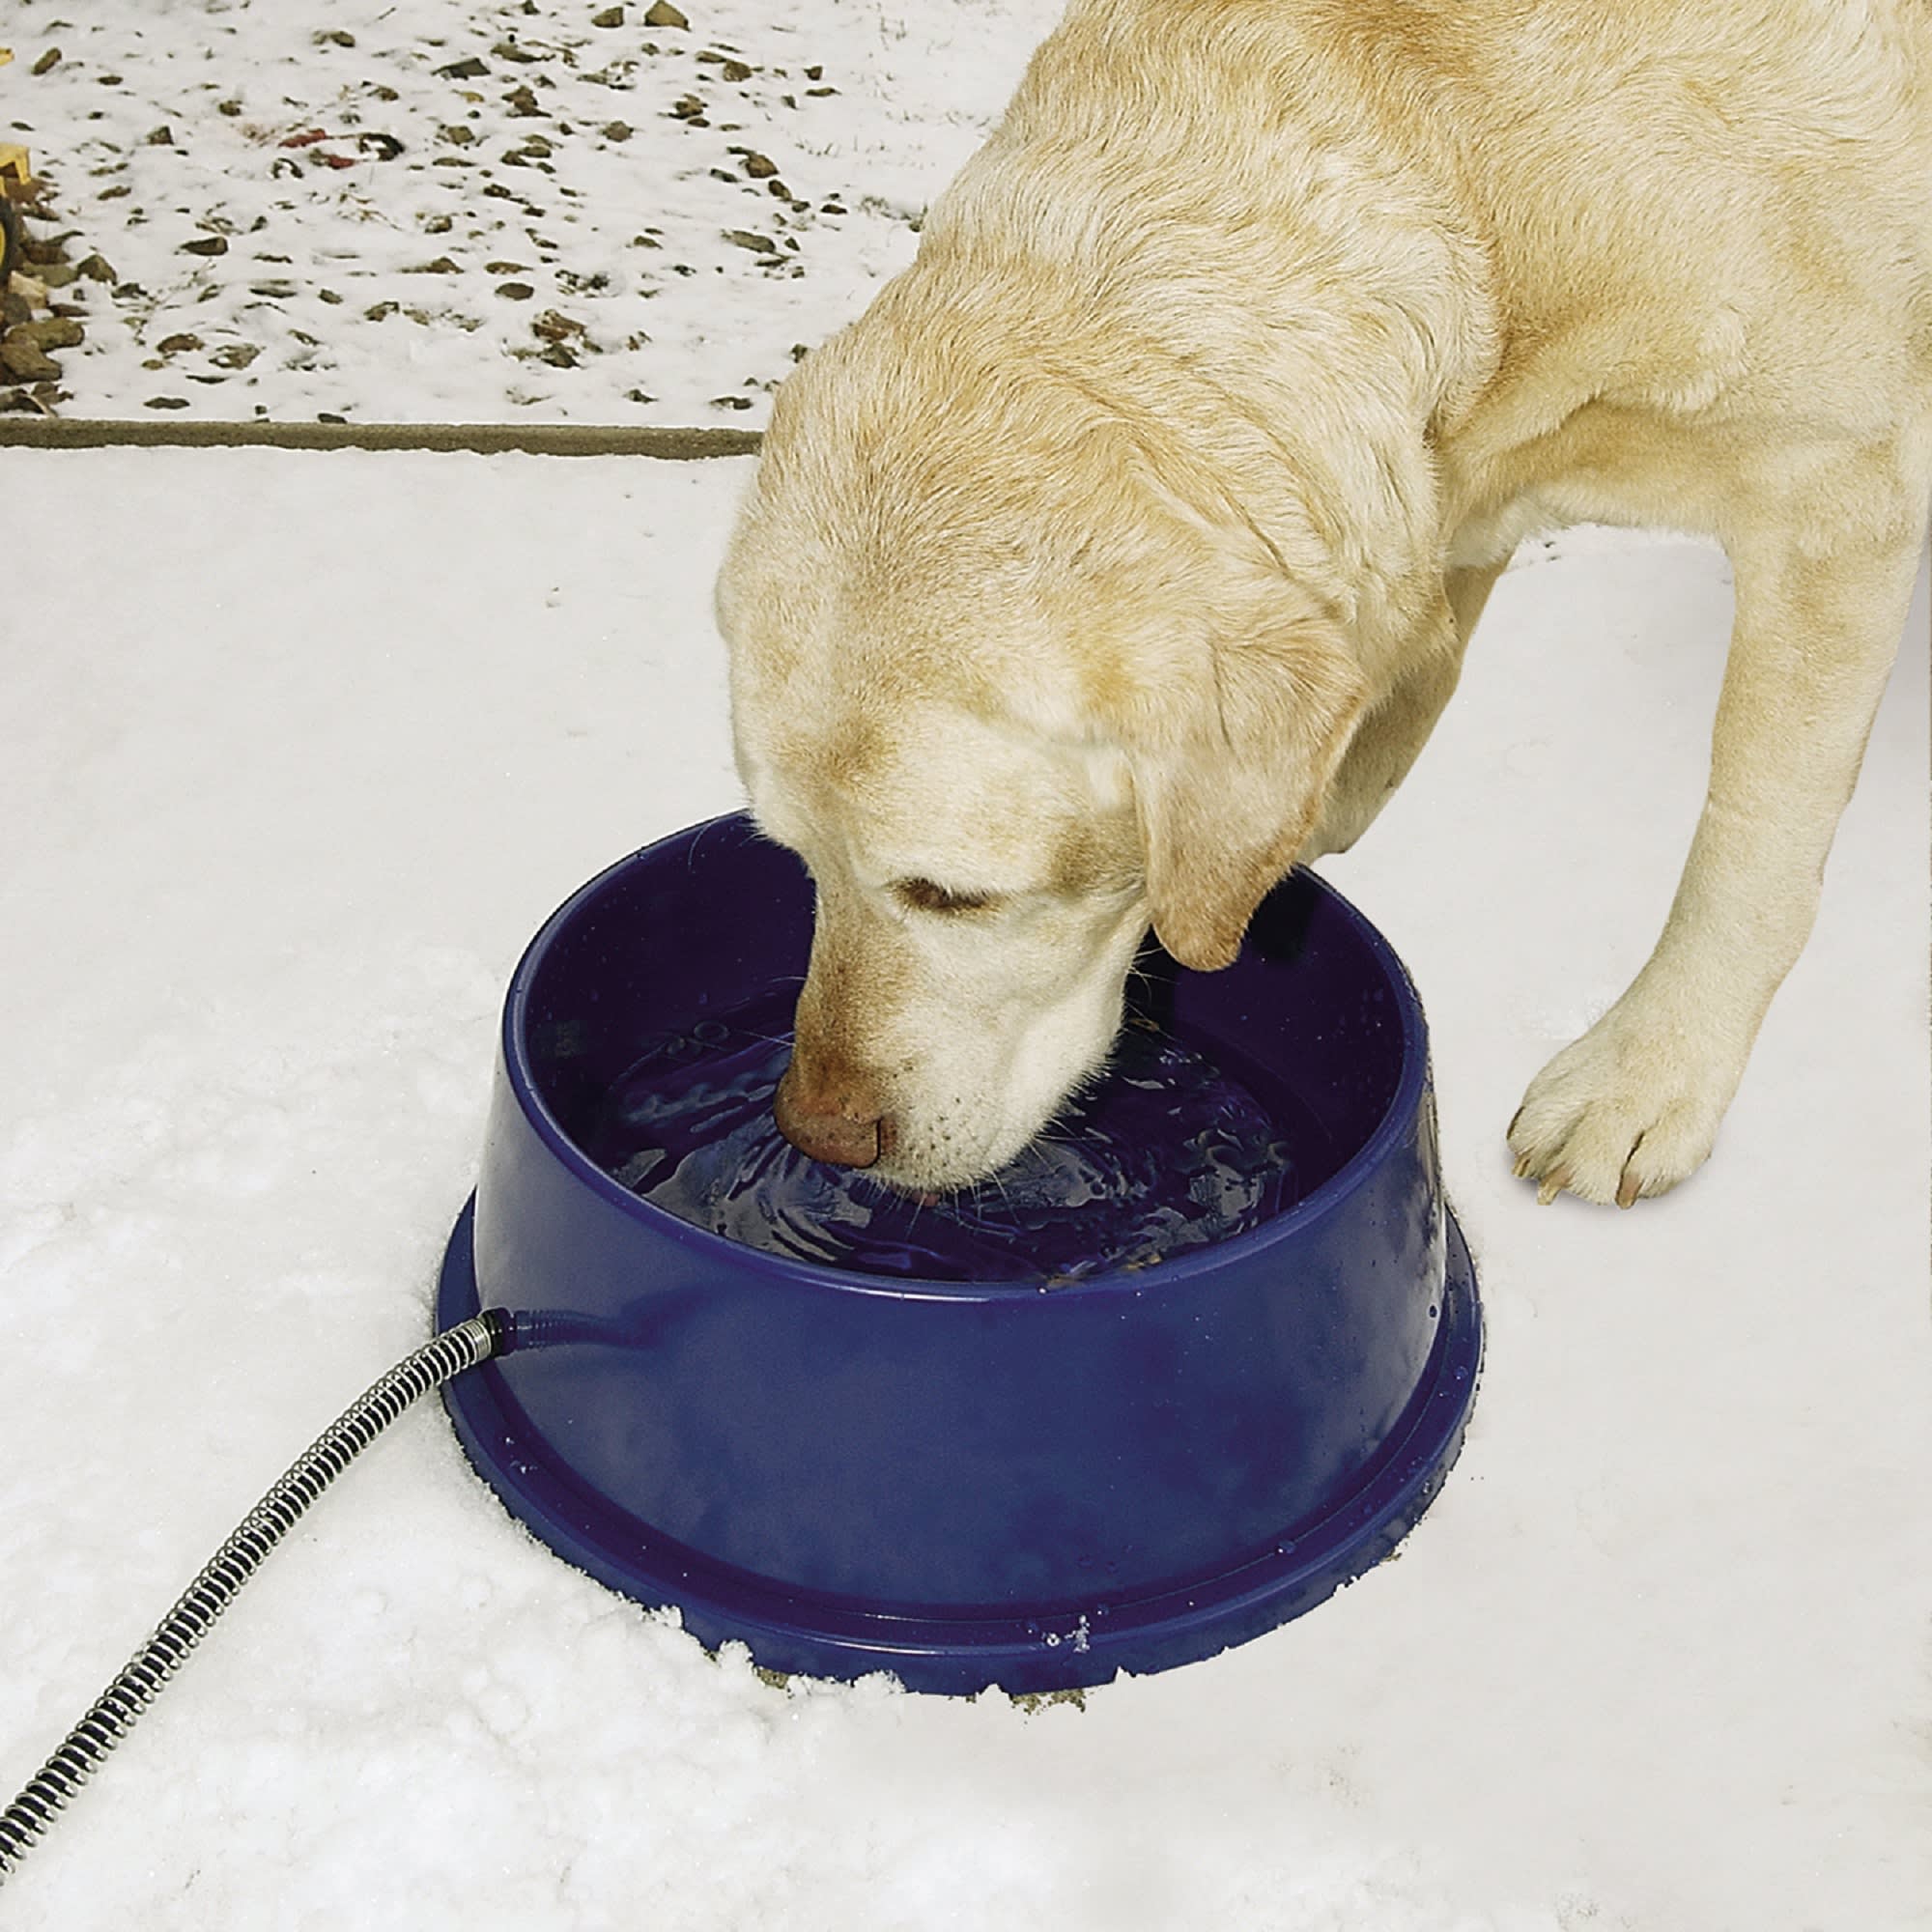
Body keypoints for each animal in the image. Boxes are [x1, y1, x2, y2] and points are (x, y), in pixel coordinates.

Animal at [719, 0, 1932, 1206]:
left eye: (950, 895)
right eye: (794, 857)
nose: (819, 1134)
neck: (1456, 164)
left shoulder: (1833, 494)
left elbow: (1747, 847)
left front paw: (1647, 1077)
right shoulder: (1443, 490)